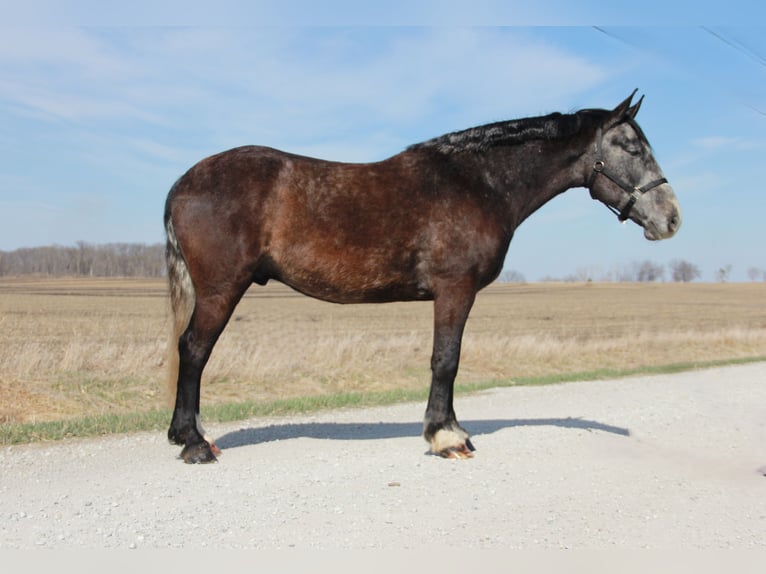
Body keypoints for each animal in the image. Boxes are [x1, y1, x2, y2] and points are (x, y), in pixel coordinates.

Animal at [164, 90, 681, 464]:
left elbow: (447, 361)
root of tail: (184, 182)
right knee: (194, 350)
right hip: (221, 290)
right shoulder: (455, 289)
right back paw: (194, 443)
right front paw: (446, 436)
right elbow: (446, 360)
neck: (477, 183)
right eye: (632, 146)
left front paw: (449, 430)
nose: (671, 218)